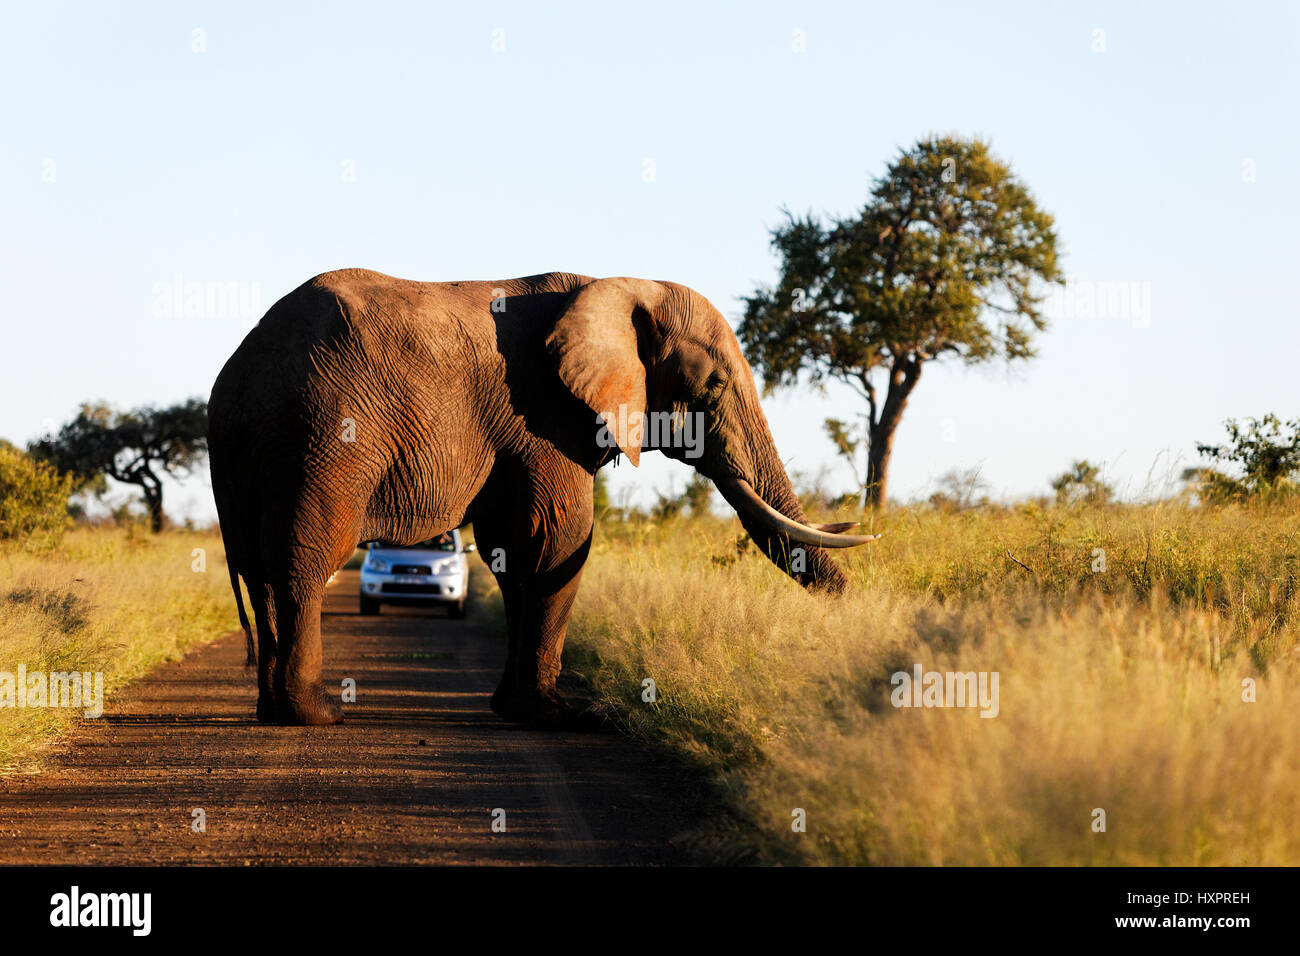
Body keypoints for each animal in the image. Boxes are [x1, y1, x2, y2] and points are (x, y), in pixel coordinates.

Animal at [208, 269, 878, 723]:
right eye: (713, 384)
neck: (616, 284)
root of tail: (238, 374)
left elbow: (513, 551)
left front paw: (517, 708)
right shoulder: (544, 417)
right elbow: (557, 538)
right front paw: (559, 717)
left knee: (258, 570)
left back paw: (275, 713)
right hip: (323, 438)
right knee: (304, 560)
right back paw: (319, 714)